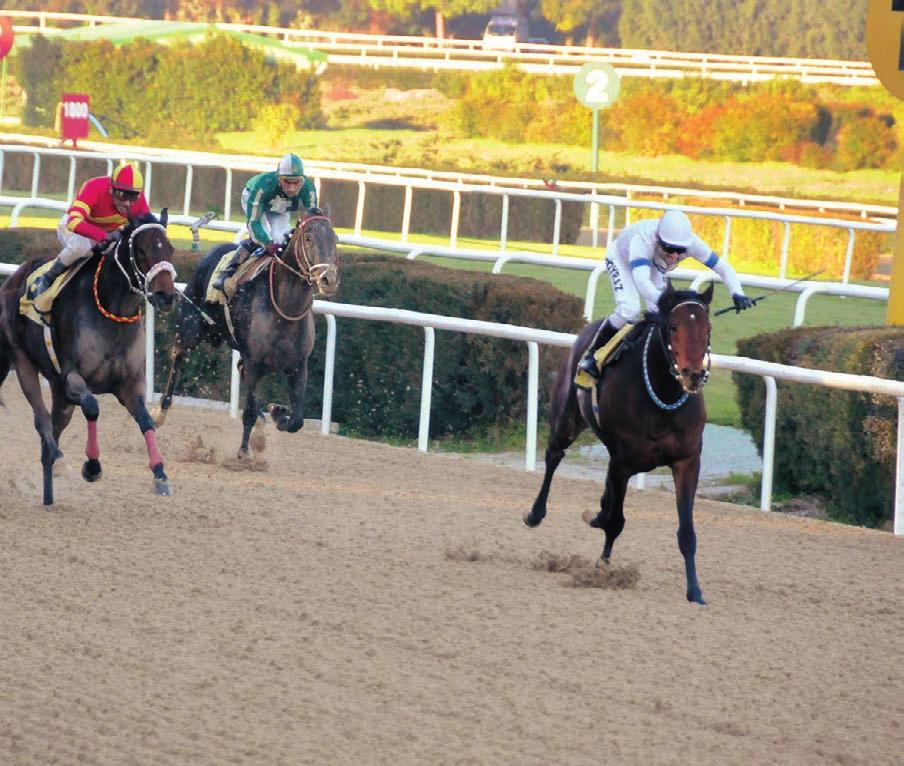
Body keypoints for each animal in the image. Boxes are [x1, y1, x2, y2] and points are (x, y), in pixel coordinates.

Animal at [0, 213, 178, 508]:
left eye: (170, 249)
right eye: (141, 251)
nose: (166, 296)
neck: (112, 310)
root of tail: (13, 277)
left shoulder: (129, 384)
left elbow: (146, 420)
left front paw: (160, 474)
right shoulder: (72, 378)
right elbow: (93, 407)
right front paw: (92, 466)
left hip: (59, 393)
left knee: (52, 432)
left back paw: (49, 493)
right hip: (23, 361)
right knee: (42, 420)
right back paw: (60, 462)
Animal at [155, 208, 340, 456]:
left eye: (335, 238)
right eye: (308, 238)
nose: (328, 279)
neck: (284, 310)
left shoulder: (299, 365)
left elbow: (296, 420)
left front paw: (278, 413)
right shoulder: (254, 361)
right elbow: (249, 411)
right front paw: (244, 452)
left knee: (240, 372)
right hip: (190, 329)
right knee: (178, 355)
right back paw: (160, 411)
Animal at [524, 280, 712, 608]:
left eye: (707, 329)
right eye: (673, 326)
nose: (693, 375)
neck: (662, 393)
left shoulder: (687, 460)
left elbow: (687, 533)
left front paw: (695, 591)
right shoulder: (622, 460)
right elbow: (615, 521)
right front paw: (602, 569)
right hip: (566, 419)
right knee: (553, 456)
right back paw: (536, 513)